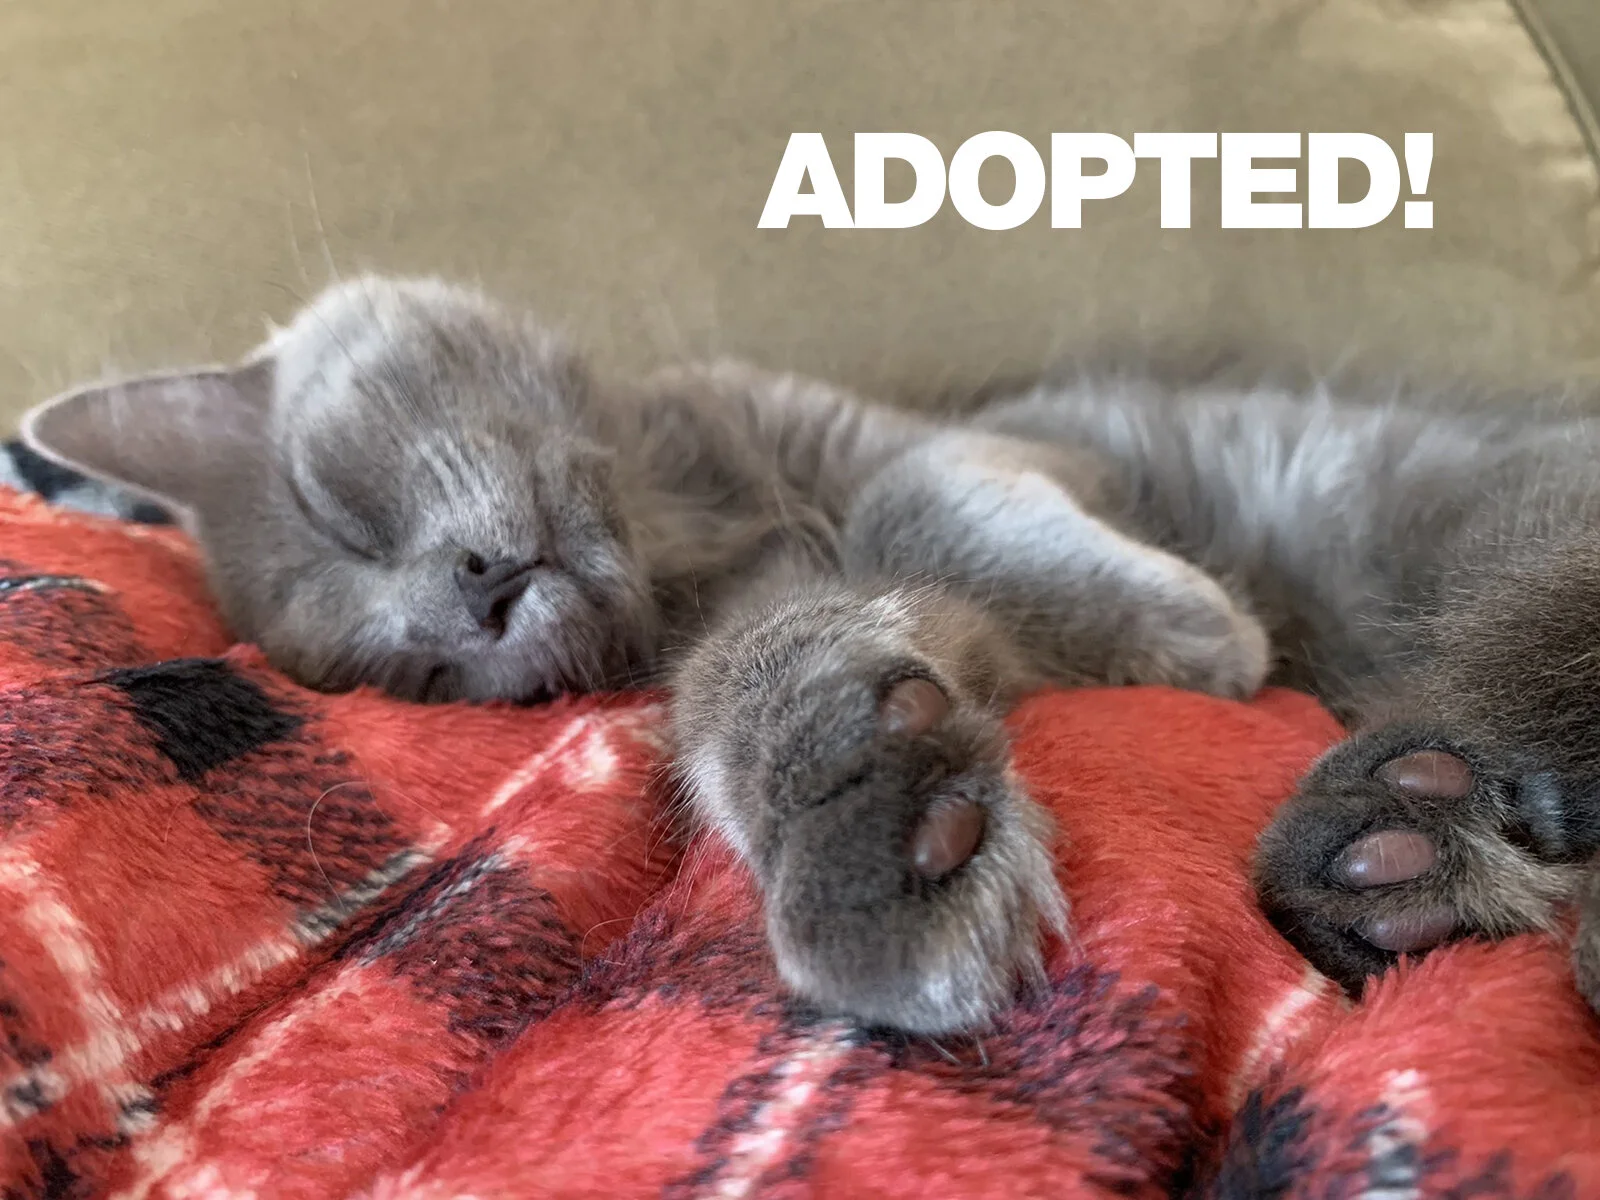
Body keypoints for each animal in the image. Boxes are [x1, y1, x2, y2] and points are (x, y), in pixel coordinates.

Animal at [22, 275, 1600, 1034]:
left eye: (333, 496)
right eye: (414, 680)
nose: (467, 610)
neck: (697, 521)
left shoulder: (999, 439)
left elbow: (918, 490)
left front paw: (1194, 630)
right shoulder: (764, 626)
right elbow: (760, 684)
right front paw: (871, 815)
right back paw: (1412, 845)